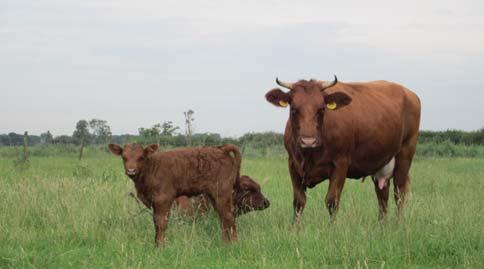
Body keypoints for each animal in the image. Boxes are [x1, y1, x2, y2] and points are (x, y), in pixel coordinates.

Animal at [111, 143, 244, 246]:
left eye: (141, 157)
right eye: (124, 157)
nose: (131, 171)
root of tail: (221, 149)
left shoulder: (163, 199)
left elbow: (161, 223)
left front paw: (160, 247)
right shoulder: (154, 202)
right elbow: (155, 223)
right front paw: (155, 244)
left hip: (222, 193)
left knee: (228, 216)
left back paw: (234, 243)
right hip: (213, 196)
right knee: (222, 218)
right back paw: (225, 243)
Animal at [264, 76, 420, 222]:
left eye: (322, 109)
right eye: (293, 109)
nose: (308, 141)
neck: (309, 155)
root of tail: (410, 93)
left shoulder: (340, 164)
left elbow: (332, 201)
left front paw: (331, 228)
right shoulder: (292, 164)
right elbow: (299, 202)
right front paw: (295, 229)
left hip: (405, 154)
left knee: (399, 194)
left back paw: (398, 224)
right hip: (381, 163)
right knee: (382, 196)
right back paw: (382, 225)